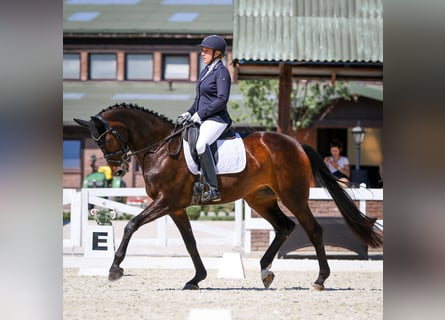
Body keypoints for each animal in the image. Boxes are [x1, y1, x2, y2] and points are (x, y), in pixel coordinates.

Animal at [73, 102, 382, 290]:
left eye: (106, 139)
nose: (118, 169)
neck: (159, 149)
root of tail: (296, 143)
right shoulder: (176, 207)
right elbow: (190, 243)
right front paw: (196, 278)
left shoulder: (166, 201)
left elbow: (130, 225)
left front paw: (115, 268)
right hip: (260, 198)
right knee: (285, 227)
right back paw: (265, 271)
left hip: (293, 196)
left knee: (313, 229)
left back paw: (319, 279)